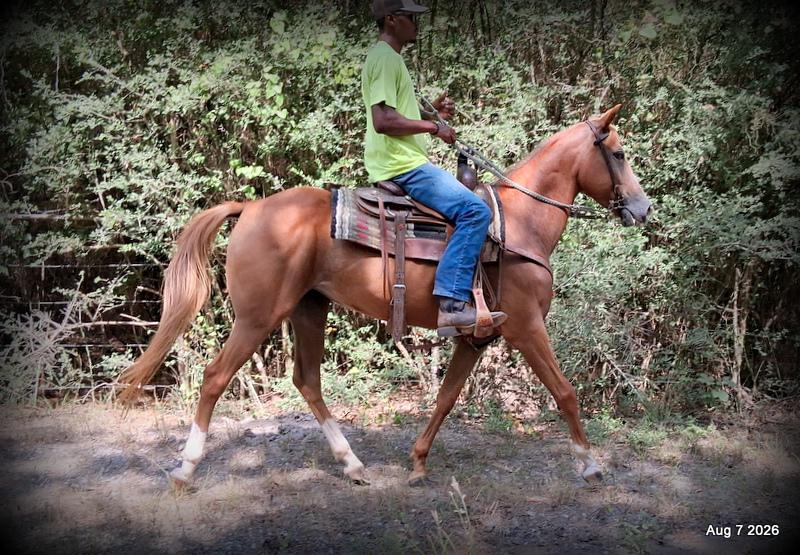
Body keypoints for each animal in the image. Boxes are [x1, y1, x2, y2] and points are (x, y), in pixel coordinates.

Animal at [119, 104, 651, 488]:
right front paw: (590, 464)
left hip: (309, 309)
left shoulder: (475, 338)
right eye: (619, 154)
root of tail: (249, 207)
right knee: (215, 378)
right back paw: (186, 469)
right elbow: (565, 392)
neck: (519, 225)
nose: (643, 209)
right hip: (257, 316)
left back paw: (352, 464)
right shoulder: (525, 327)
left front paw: (417, 463)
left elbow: (446, 397)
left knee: (308, 381)